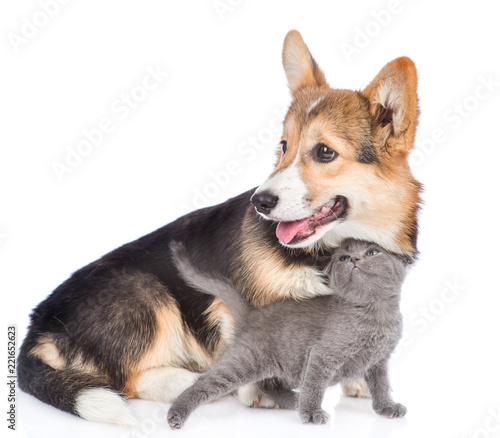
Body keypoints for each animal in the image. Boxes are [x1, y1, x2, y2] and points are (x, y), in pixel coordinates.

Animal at [168, 238, 410, 430]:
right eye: (343, 258)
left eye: (372, 252)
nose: (354, 259)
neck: (376, 314)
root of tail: (252, 313)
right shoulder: (322, 354)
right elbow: (314, 385)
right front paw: (311, 413)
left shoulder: (378, 361)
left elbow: (381, 386)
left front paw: (387, 407)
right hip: (248, 360)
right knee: (205, 382)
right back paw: (176, 413)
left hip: (283, 366)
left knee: (267, 384)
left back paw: (294, 399)